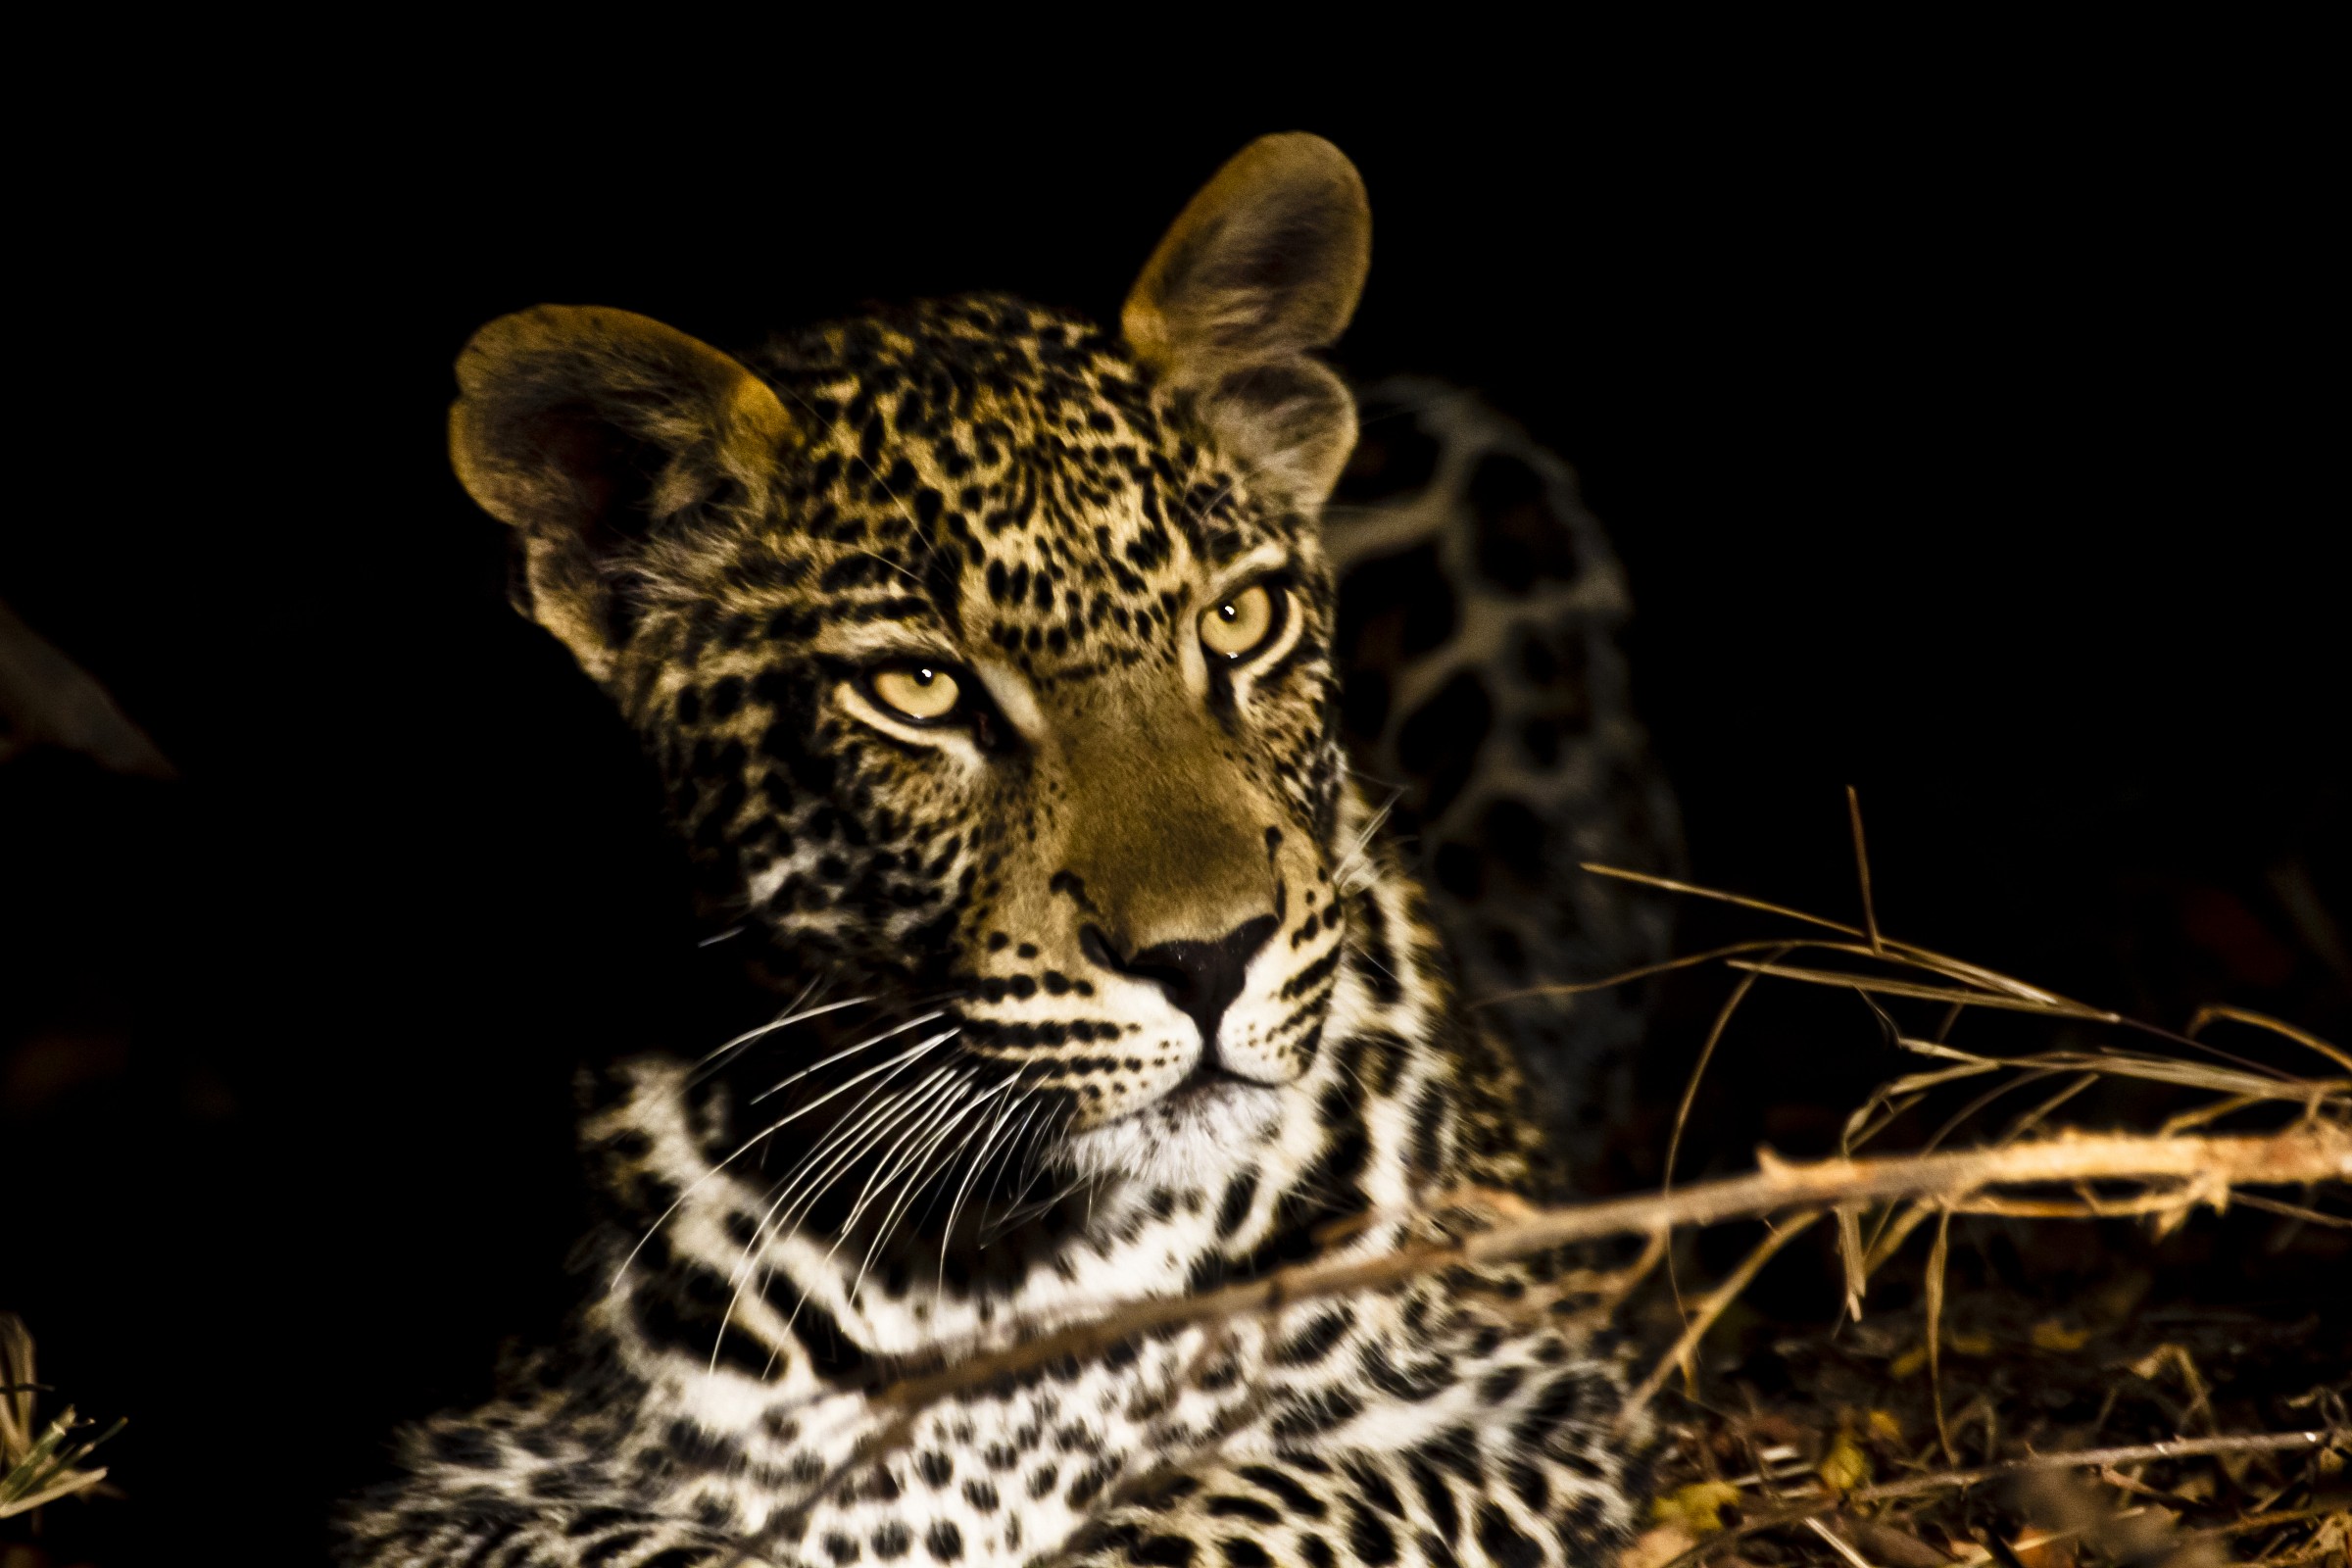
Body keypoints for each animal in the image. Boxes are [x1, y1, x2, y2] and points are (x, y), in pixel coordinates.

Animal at [336, 134, 1670, 1568]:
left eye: (1241, 619)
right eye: (919, 689)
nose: (1211, 960)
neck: (1007, 1264)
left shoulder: (1540, 1399)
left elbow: (1243, 1510)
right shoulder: (444, 1491)